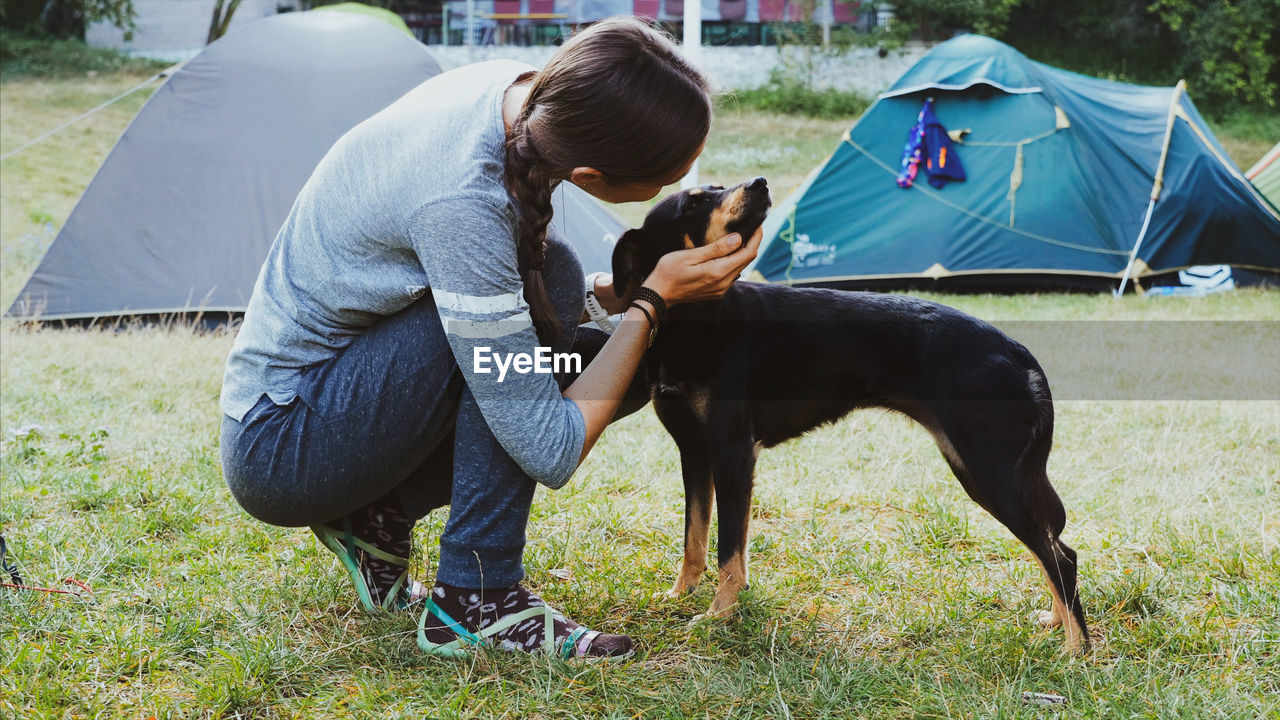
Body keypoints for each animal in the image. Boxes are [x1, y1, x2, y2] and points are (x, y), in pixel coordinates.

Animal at [611, 178, 1090, 650]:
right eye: (694, 202)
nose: (760, 184)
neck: (699, 320)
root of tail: (1015, 349)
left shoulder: (733, 454)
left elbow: (729, 549)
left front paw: (718, 616)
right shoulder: (695, 452)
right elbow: (694, 538)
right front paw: (682, 594)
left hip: (991, 472)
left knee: (1060, 556)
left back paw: (1075, 649)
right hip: (982, 470)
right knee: (1052, 549)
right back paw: (1056, 621)